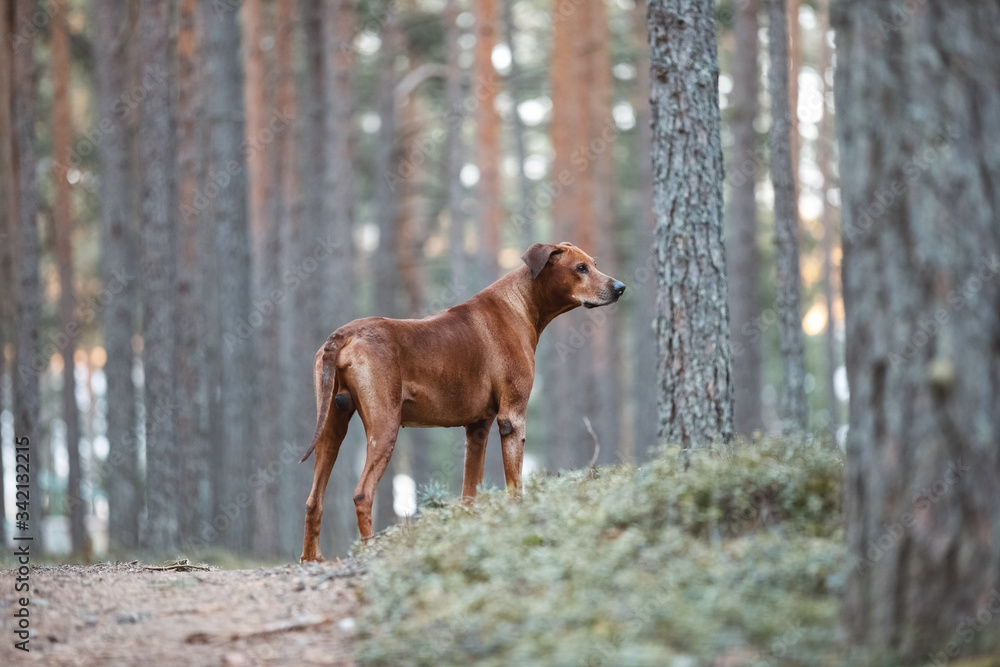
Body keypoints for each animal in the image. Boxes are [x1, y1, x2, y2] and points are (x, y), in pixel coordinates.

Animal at [298, 243, 624, 560]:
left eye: (594, 264)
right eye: (580, 268)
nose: (620, 287)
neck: (520, 304)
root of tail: (343, 334)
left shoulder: (478, 428)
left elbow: (469, 491)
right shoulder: (512, 418)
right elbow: (515, 485)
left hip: (331, 428)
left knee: (313, 499)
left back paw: (311, 559)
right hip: (384, 427)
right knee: (362, 494)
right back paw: (371, 552)